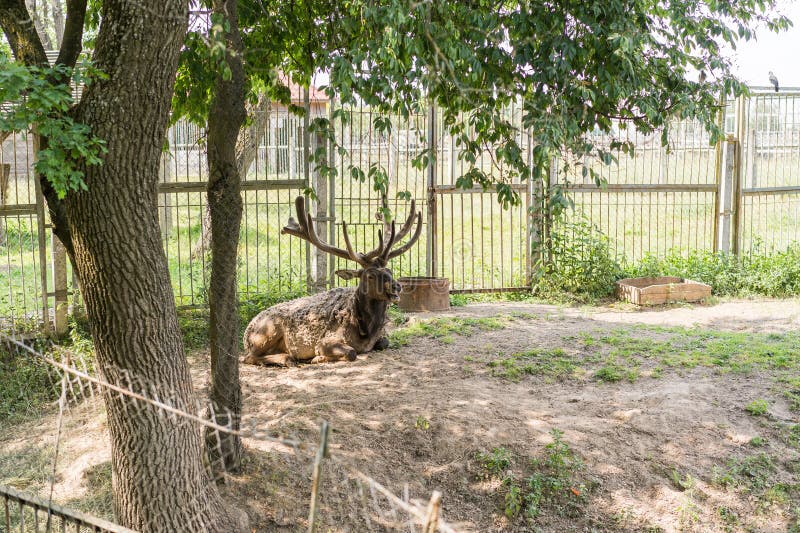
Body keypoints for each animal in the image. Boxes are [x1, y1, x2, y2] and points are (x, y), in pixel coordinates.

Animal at [243, 196, 422, 366]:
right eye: (370, 275)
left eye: (389, 271)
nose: (397, 287)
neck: (366, 330)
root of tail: (246, 334)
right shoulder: (325, 339)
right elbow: (351, 352)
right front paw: (317, 358)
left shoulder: (382, 336)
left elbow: (385, 342)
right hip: (267, 332)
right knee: (248, 357)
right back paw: (287, 358)